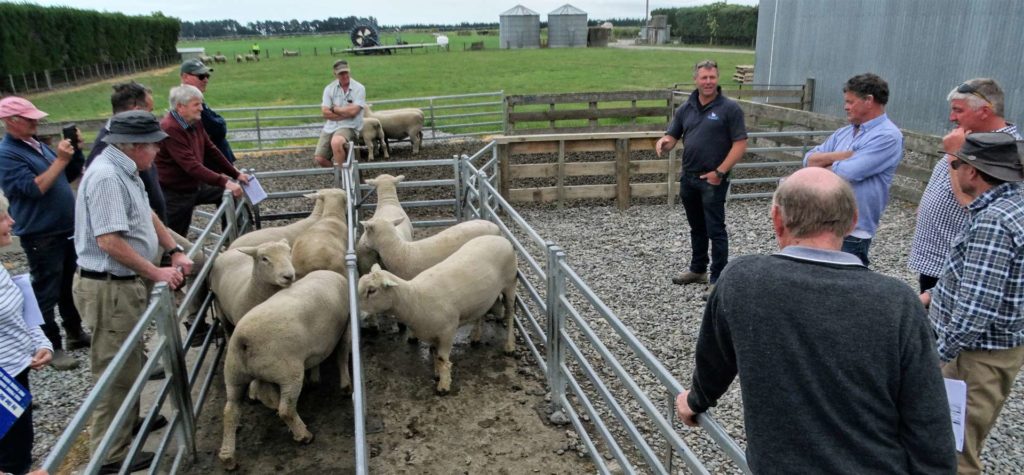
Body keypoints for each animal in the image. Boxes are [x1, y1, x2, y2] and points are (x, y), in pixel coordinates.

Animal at [217, 268, 352, 468]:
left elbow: (318, 359)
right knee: (286, 410)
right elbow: (342, 354)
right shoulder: (346, 326)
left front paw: (315, 378)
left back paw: (228, 458)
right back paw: (304, 435)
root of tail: (243, 340)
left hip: (234, 375)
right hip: (288, 372)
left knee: (230, 412)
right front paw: (346, 386)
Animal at [360, 233, 520, 393]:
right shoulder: (433, 332)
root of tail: (502, 239)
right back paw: (476, 336)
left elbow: (443, 359)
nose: (359, 314)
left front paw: (443, 386)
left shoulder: (447, 332)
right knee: (481, 313)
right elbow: (435, 354)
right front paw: (438, 374)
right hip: (483, 297)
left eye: (372, 290)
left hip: (510, 284)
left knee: (510, 314)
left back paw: (509, 346)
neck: (415, 299)